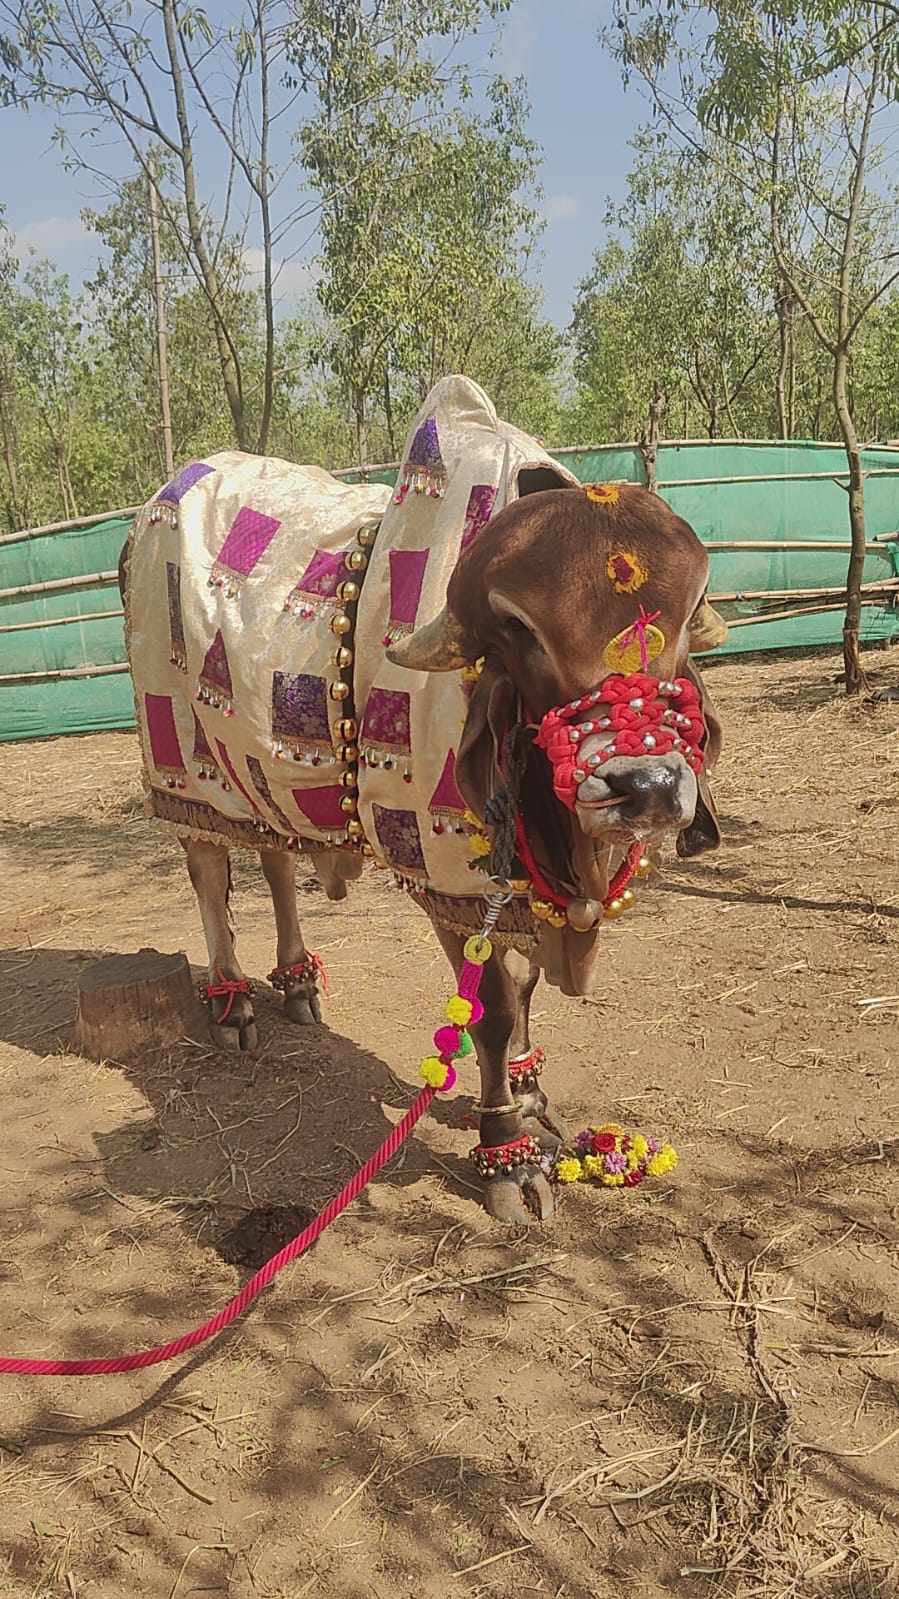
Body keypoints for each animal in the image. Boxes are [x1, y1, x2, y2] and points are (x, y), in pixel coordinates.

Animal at [122, 376, 726, 1223]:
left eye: (686, 607)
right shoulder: (446, 879)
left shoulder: (512, 892)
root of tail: (160, 500)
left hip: (262, 773)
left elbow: (525, 989)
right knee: (210, 873)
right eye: (515, 626)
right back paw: (233, 1000)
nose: (645, 786)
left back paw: (297, 979)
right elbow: (492, 1011)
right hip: (182, 760)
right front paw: (505, 1150)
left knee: (276, 862)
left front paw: (531, 1091)